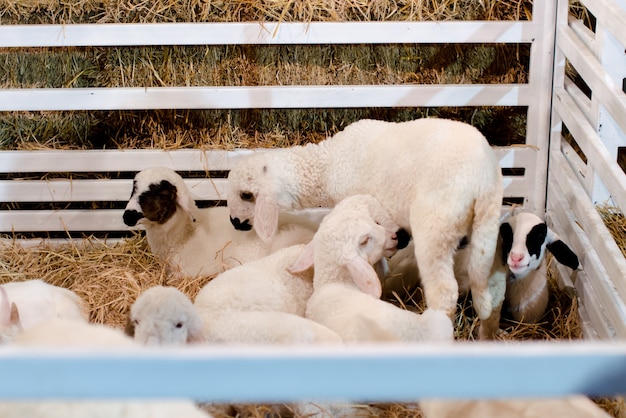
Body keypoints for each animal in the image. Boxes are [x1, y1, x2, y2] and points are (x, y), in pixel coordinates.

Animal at [227, 117, 500, 330]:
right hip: (485, 227)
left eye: (246, 195)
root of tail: (483, 179)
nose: (235, 222)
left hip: (436, 225)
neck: (326, 166)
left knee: (444, 293)